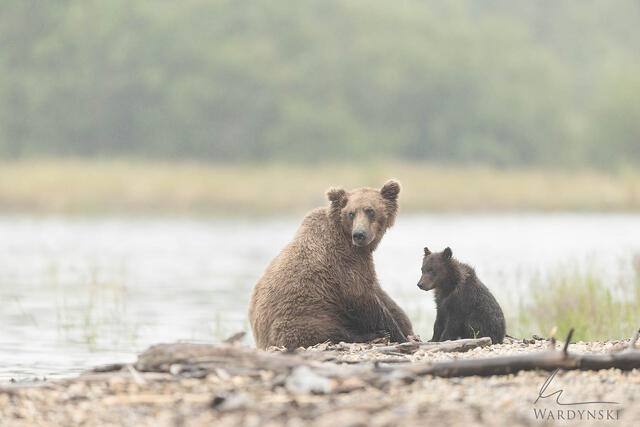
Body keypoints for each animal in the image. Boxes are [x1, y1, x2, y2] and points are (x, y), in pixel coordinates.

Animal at [248, 180, 415, 350]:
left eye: (370, 211)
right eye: (351, 213)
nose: (359, 234)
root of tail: (259, 339)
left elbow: (381, 295)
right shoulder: (343, 264)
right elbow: (362, 297)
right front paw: (397, 334)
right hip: (303, 316)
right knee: (326, 331)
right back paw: (373, 335)